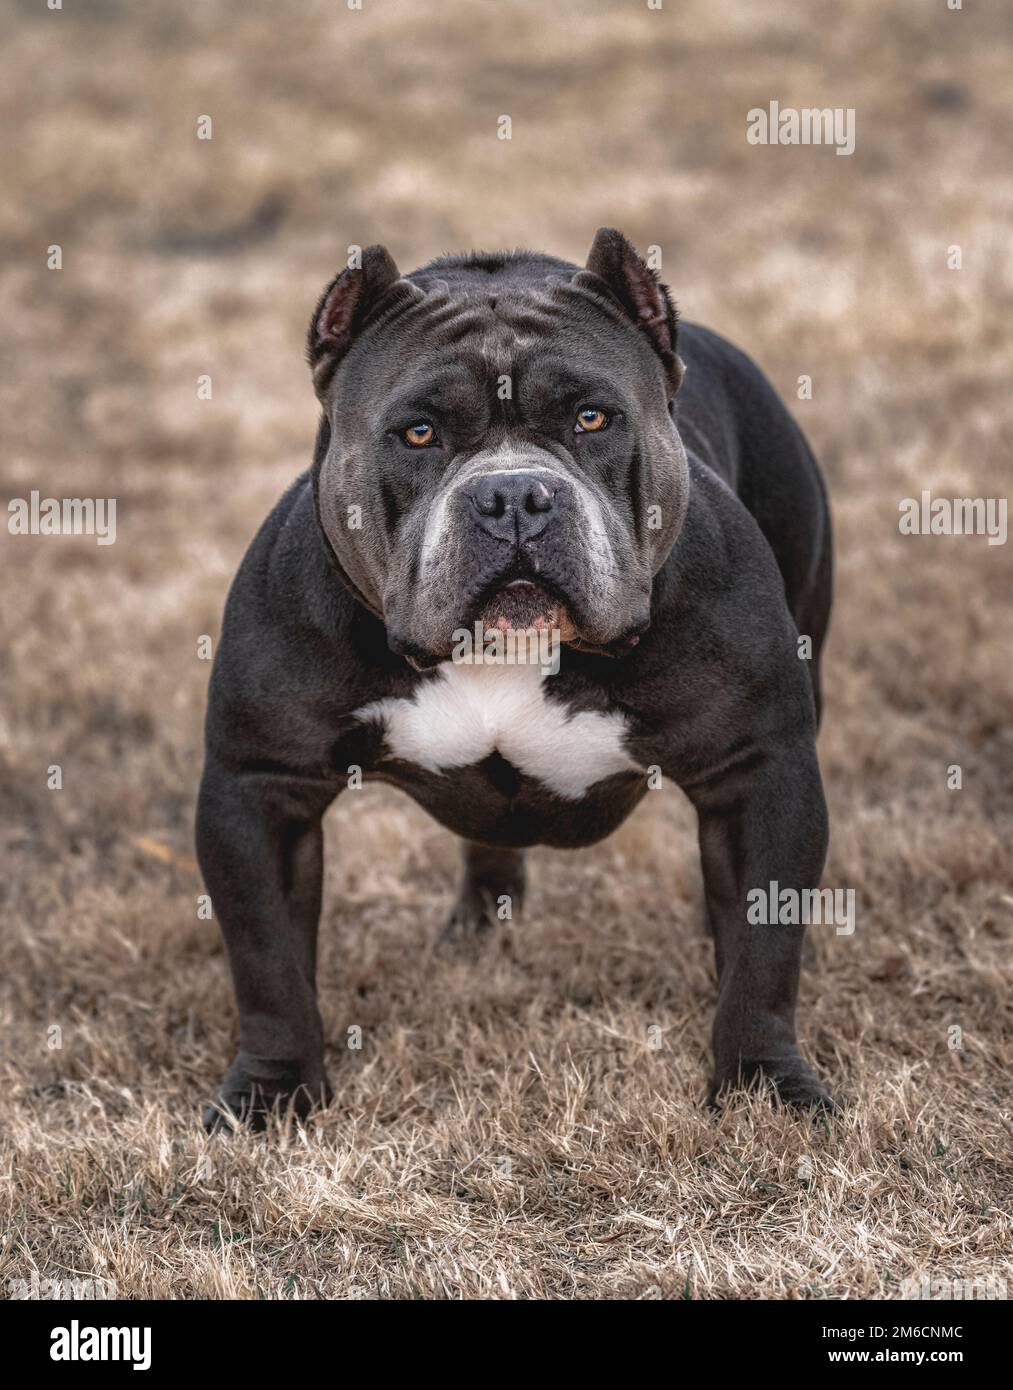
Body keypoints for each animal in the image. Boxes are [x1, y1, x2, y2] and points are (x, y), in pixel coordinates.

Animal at [195, 227, 828, 1128]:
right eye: (418, 433)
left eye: (592, 417)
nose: (513, 496)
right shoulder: (259, 789)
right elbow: (269, 963)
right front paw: (272, 1097)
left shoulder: (761, 774)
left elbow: (765, 950)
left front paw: (762, 1087)